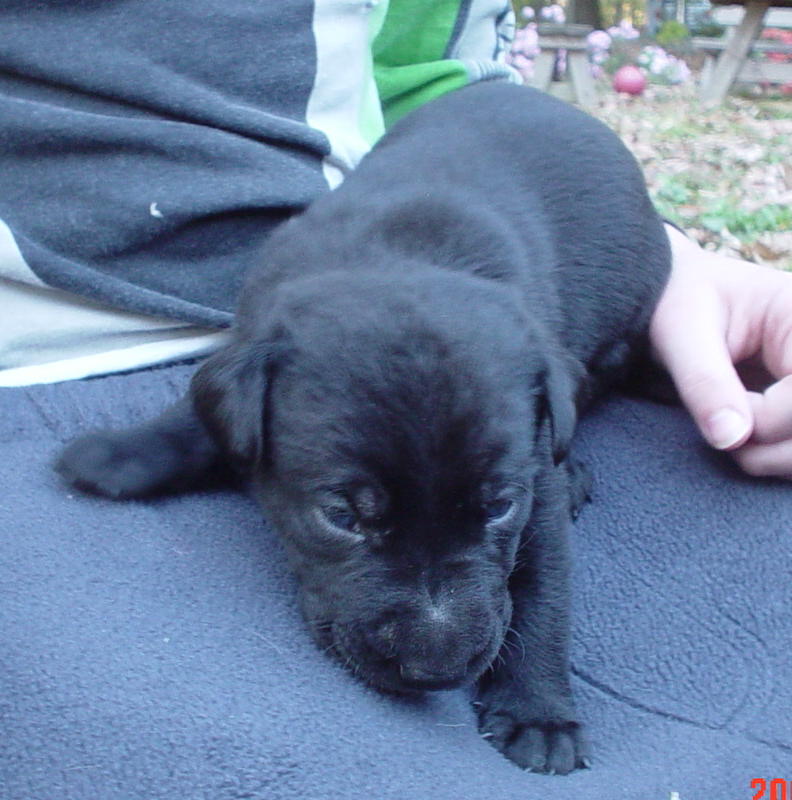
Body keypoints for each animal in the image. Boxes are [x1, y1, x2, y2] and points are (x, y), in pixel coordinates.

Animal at [58, 84, 672, 780]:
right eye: (343, 517)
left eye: (497, 509)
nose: (436, 668)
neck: (398, 257)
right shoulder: (253, 336)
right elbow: (202, 413)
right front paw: (121, 452)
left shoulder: (532, 481)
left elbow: (544, 588)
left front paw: (538, 712)